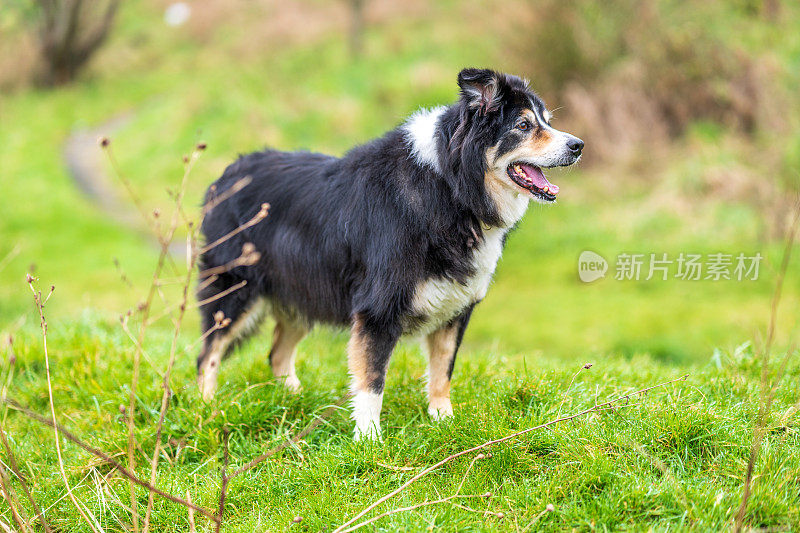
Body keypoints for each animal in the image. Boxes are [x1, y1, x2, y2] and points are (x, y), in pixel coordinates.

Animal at [194, 66, 580, 438]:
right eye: (523, 125)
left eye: (547, 121)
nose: (578, 145)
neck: (451, 187)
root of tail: (225, 176)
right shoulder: (378, 308)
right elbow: (372, 380)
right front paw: (368, 439)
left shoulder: (457, 307)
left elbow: (443, 369)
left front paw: (444, 421)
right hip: (234, 290)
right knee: (207, 354)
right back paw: (207, 408)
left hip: (302, 291)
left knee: (276, 353)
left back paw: (294, 403)